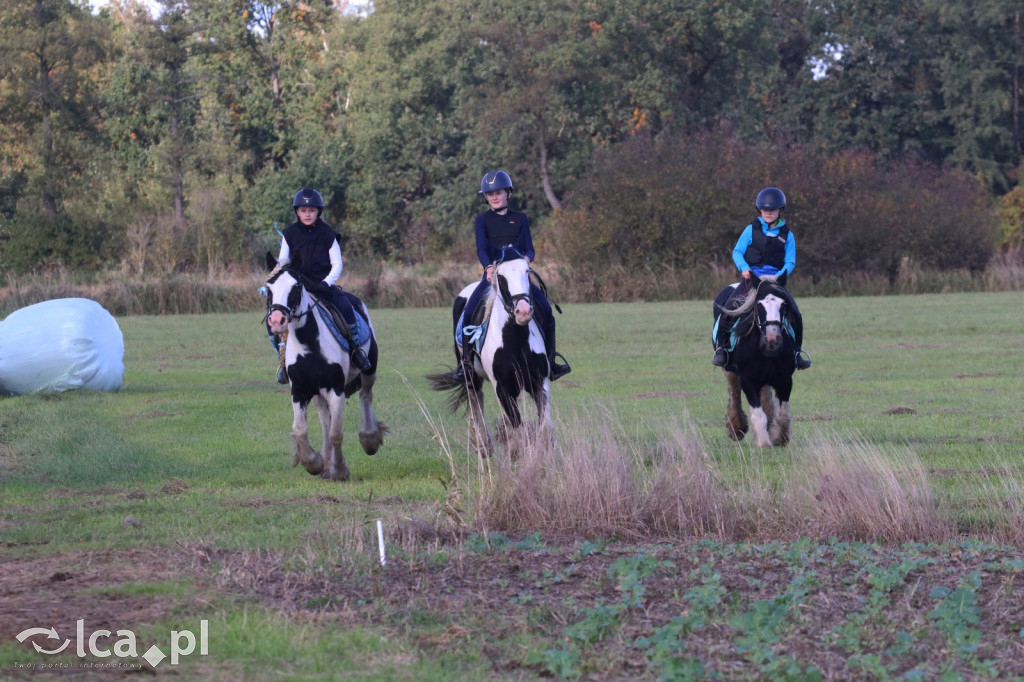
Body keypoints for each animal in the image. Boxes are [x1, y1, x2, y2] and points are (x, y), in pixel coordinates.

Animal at [264, 254, 387, 477]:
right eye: (269, 288)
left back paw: (369, 439)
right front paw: (314, 463)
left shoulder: (336, 390)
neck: (309, 345)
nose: (277, 320)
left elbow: (336, 433)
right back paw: (326, 465)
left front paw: (339, 471)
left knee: (365, 396)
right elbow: (301, 429)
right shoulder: (299, 391)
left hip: (369, 371)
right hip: (317, 394)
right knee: (324, 419)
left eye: (296, 286)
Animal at [425, 251, 552, 454]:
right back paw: (483, 444)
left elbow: (544, 429)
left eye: (527, 272)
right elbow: (518, 431)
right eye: (501, 277)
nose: (523, 311)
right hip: (471, 376)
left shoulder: (540, 382)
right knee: (476, 400)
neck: (515, 341)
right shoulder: (502, 388)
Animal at [716, 276, 794, 446]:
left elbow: (783, 415)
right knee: (734, 394)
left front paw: (778, 438)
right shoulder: (748, 380)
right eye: (759, 305)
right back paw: (736, 427)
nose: (772, 341)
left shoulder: (785, 380)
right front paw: (763, 443)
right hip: (730, 371)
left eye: (783, 305)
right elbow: (758, 414)